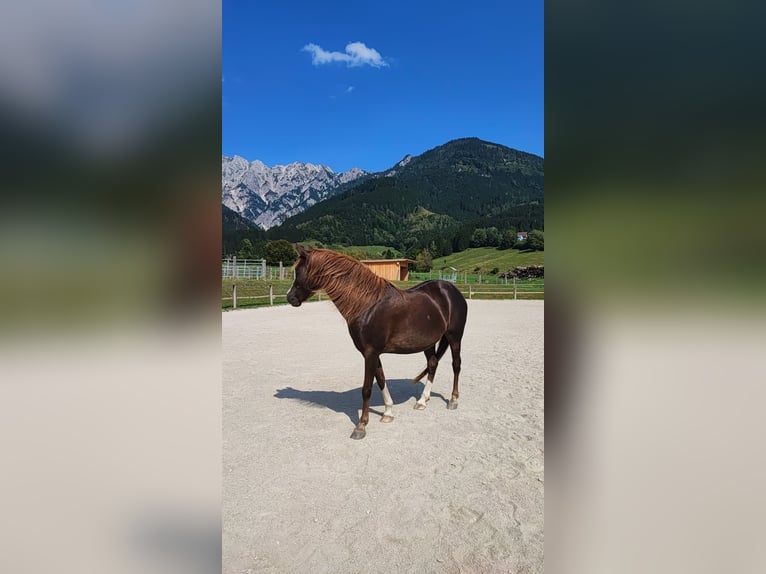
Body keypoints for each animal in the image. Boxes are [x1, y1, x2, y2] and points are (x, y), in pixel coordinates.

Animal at [286, 246, 468, 440]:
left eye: (299, 271)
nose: (290, 298)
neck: (366, 304)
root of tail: (451, 289)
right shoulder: (374, 353)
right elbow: (380, 380)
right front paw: (388, 412)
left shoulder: (370, 353)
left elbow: (366, 389)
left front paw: (361, 426)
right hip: (428, 343)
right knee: (432, 364)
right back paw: (422, 400)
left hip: (455, 337)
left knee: (456, 365)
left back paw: (453, 400)